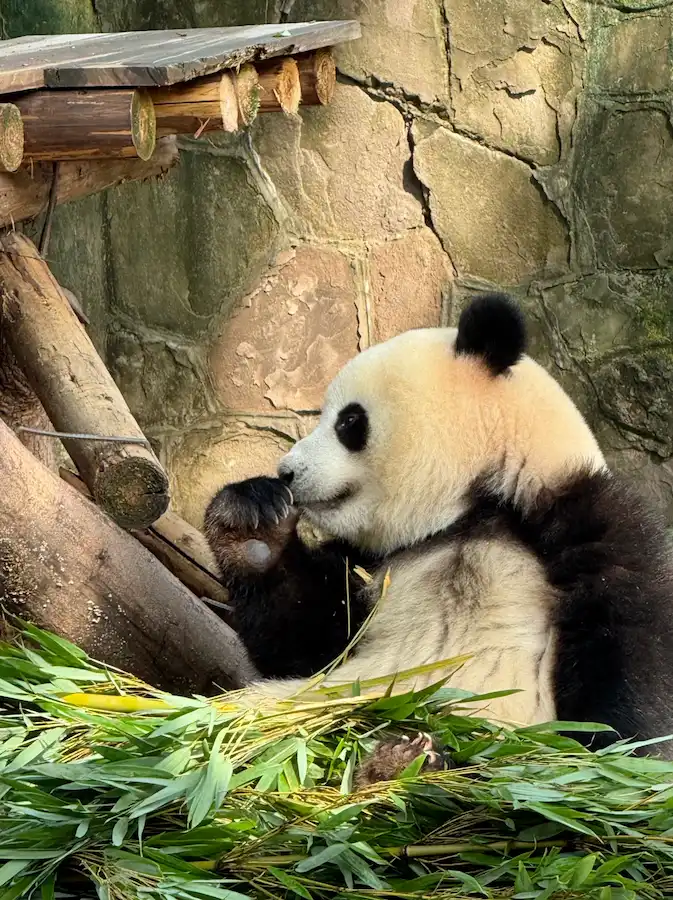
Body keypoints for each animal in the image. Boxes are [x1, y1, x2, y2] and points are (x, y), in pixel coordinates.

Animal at [205, 293, 673, 782]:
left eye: (349, 421)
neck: (472, 507)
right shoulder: (371, 564)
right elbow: (309, 641)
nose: (287, 472)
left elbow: (628, 672)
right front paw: (253, 527)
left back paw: (408, 759)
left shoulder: (593, 526)